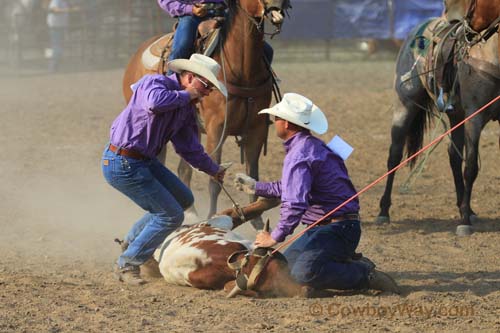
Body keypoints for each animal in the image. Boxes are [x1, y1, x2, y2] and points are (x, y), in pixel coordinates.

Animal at [123, 0, 292, 227]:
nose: (277, 10)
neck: (242, 70)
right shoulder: (216, 129)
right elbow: (214, 180)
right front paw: (213, 217)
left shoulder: (256, 130)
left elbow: (253, 175)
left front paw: (255, 219)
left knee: (184, 170)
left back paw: (191, 213)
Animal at [376, 0, 500, 236]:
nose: (468, 33)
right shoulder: (475, 116)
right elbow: (471, 167)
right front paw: (464, 223)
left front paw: (465, 213)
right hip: (404, 106)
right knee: (394, 156)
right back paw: (383, 211)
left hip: (456, 116)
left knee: (453, 156)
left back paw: (465, 207)